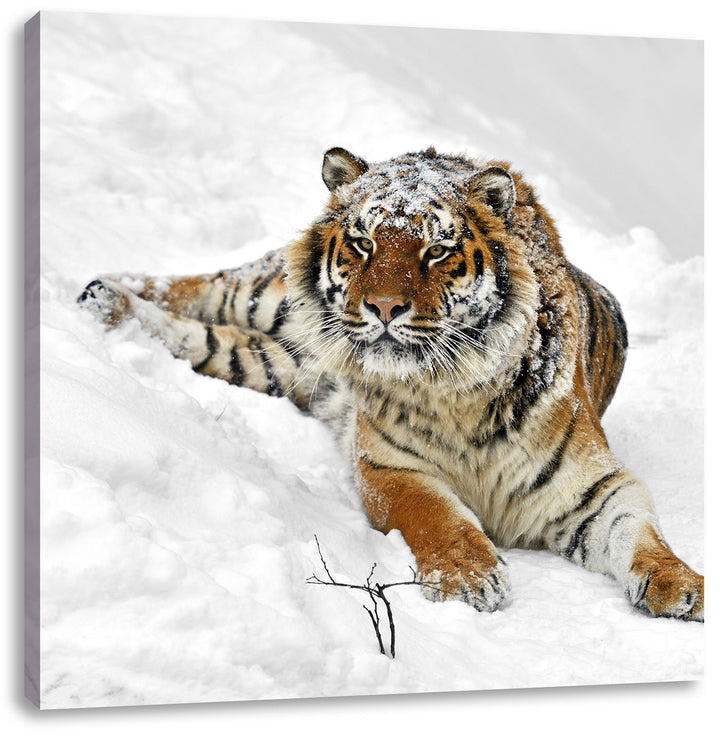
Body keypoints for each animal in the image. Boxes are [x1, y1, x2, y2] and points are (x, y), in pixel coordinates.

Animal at [78, 146, 704, 621]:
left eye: (437, 250)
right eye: (363, 243)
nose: (382, 307)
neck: (458, 392)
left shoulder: (595, 486)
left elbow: (640, 533)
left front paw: (683, 586)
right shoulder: (390, 467)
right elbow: (438, 517)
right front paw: (469, 578)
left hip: (277, 362)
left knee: (202, 338)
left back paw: (107, 304)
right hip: (264, 296)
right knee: (197, 285)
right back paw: (93, 289)